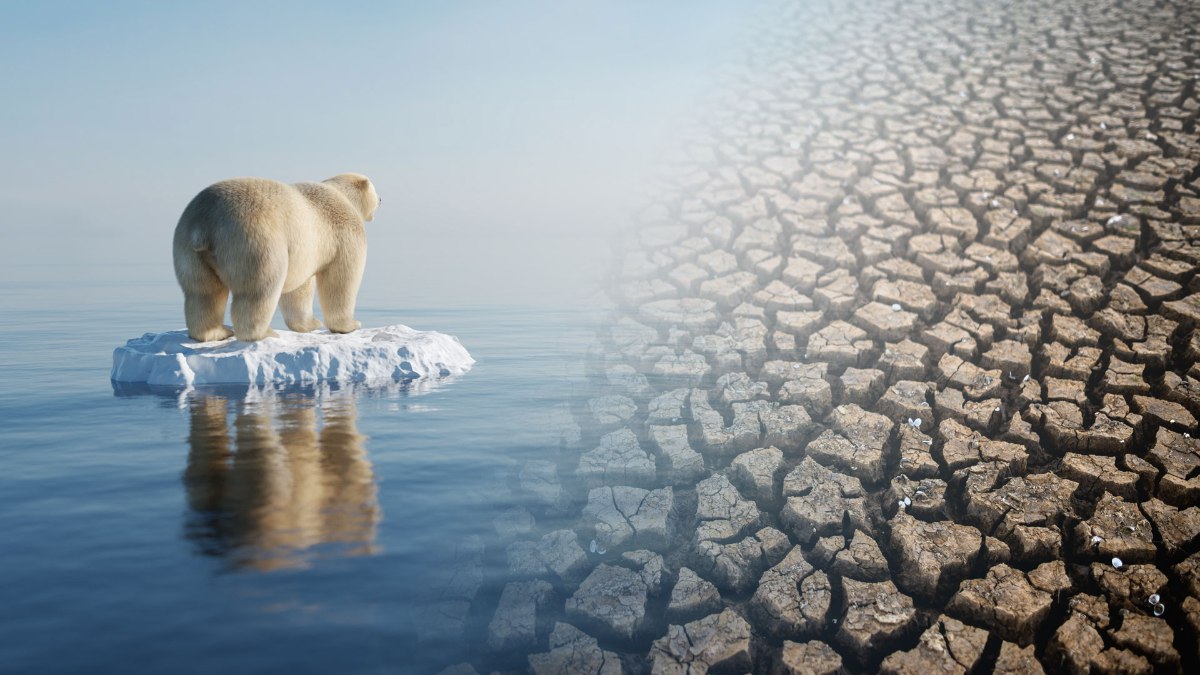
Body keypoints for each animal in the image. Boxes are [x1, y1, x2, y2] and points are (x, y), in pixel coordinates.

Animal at [172, 172, 379, 341]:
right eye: (376, 192)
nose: (382, 199)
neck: (342, 195)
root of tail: (205, 225)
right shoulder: (344, 231)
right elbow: (342, 279)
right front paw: (350, 325)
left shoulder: (304, 251)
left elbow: (299, 288)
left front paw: (310, 324)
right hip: (256, 240)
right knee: (261, 288)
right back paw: (263, 333)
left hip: (187, 249)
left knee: (203, 292)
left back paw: (215, 333)